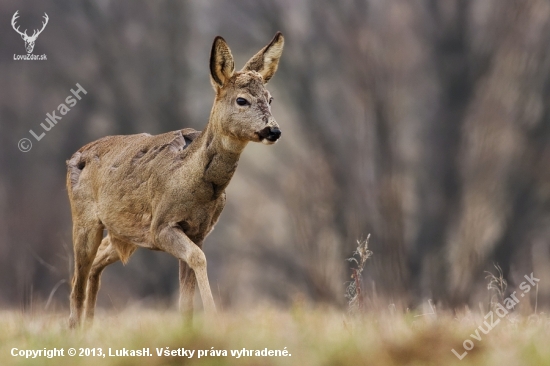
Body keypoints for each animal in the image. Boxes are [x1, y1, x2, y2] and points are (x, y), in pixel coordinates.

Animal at [66, 32, 284, 328]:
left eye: (270, 99)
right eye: (242, 100)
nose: (273, 130)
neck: (193, 182)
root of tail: (74, 155)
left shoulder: (199, 231)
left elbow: (186, 294)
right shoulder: (161, 226)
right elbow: (198, 258)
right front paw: (214, 317)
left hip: (124, 232)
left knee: (95, 265)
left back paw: (89, 326)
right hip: (84, 219)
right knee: (77, 281)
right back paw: (75, 328)